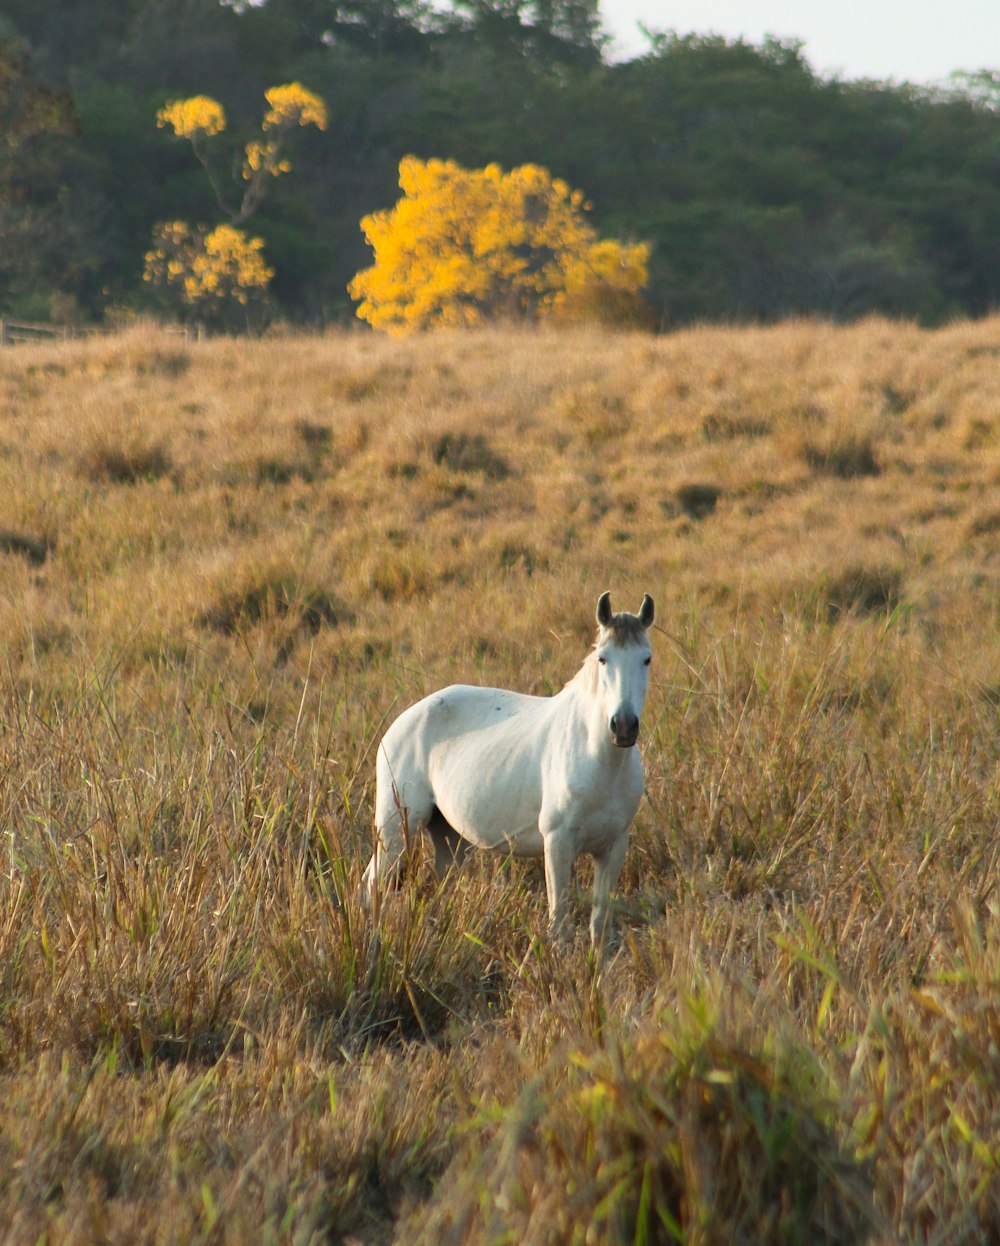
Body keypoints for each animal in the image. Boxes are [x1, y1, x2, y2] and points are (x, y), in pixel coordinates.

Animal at [363, 593, 652, 941]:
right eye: (603, 658)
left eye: (646, 659)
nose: (623, 727)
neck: (600, 762)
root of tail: (401, 722)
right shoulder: (557, 843)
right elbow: (559, 921)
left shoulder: (613, 847)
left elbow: (600, 924)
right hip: (395, 827)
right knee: (374, 883)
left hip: (447, 835)